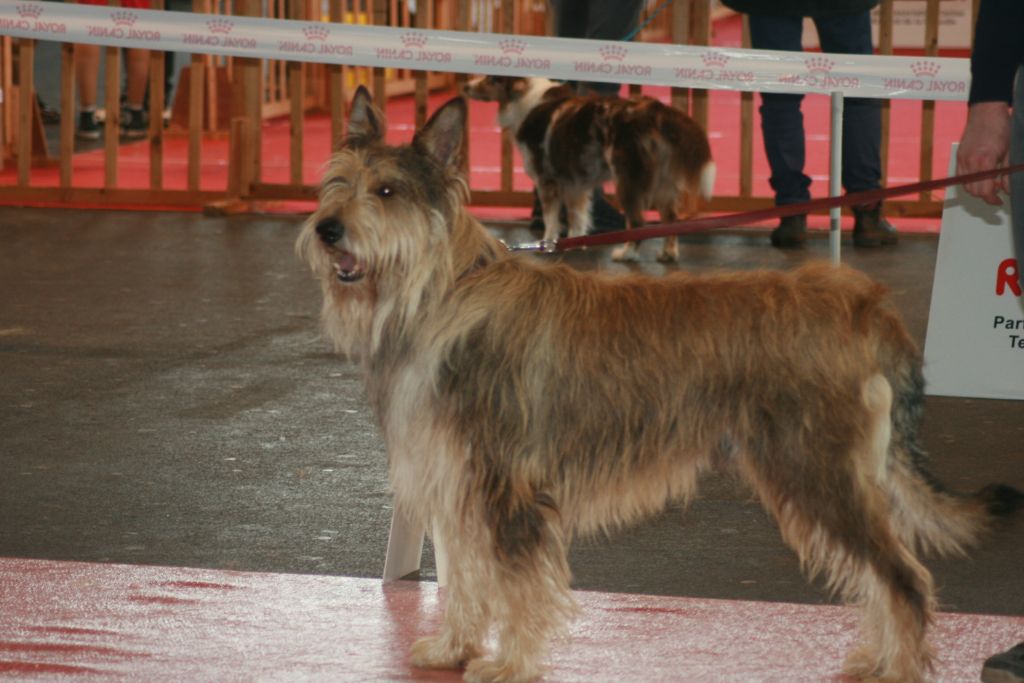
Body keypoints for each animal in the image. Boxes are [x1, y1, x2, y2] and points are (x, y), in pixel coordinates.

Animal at [468, 74, 716, 262]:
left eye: (491, 79)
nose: (466, 85)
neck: (527, 100)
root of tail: (656, 110)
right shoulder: (574, 182)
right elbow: (577, 215)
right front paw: (574, 242)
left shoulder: (547, 180)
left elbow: (551, 218)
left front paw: (547, 243)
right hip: (663, 183)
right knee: (671, 219)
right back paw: (668, 254)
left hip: (627, 179)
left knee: (638, 222)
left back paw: (626, 254)